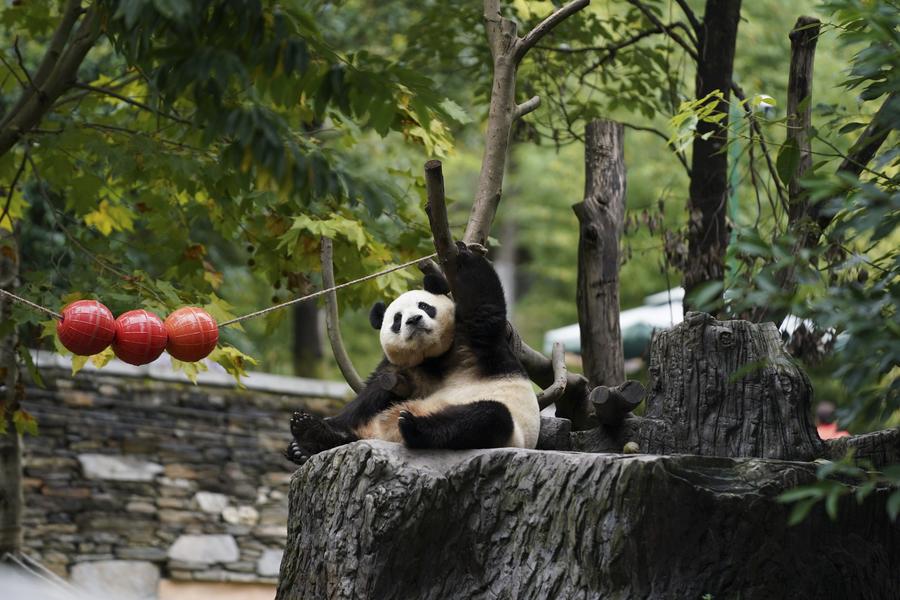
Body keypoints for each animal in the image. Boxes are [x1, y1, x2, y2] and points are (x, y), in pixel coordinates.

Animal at [286, 240, 540, 464]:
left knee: (486, 417)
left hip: (508, 431)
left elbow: (484, 305)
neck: (433, 357)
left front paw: (464, 253)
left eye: (424, 306)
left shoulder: (476, 344)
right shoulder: (402, 369)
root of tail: (382, 436)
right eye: (397, 319)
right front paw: (313, 430)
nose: (414, 320)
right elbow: (368, 396)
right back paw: (308, 437)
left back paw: (414, 427)